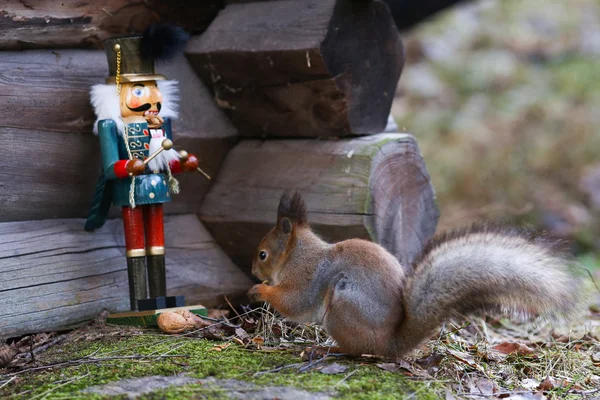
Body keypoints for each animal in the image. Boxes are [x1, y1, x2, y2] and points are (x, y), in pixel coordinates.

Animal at [248, 189, 584, 358]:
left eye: (263, 254)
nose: (252, 270)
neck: (297, 253)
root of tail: (391, 344)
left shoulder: (307, 277)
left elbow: (295, 303)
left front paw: (261, 290)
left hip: (344, 305)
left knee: (359, 352)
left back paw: (328, 349)